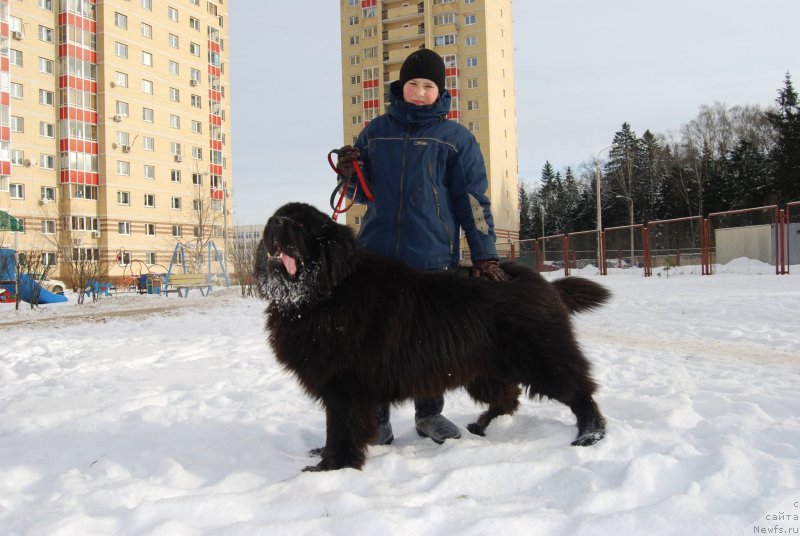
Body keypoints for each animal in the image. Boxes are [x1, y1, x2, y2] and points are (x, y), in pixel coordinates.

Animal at [260, 203, 608, 472]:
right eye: (279, 215)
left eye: (301, 224)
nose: (273, 221)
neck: (325, 293)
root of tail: (546, 284)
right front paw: (325, 455)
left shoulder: (345, 385)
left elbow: (341, 427)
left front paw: (333, 465)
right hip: (487, 368)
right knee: (508, 396)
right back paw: (482, 425)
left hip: (541, 356)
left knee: (578, 390)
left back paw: (590, 434)